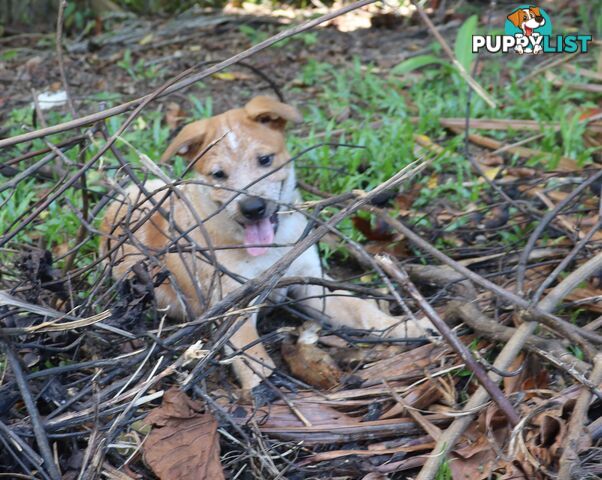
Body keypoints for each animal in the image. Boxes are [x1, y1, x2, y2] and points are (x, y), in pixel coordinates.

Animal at [102, 95, 426, 392]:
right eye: (219, 174)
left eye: (265, 160)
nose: (253, 207)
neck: (270, 250)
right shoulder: (233, 309)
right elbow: (255, 359)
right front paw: (267, 393)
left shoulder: (312, 285)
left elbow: (362, 310)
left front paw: (408, 326)